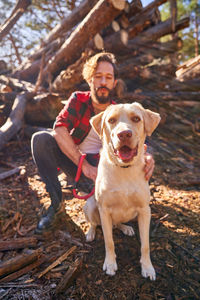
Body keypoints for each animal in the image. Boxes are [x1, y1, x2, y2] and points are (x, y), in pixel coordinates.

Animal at [83, 102, 161, 278]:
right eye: (111, 120)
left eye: (136, 118)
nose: (124, 134)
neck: (124, 168)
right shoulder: (104, 210)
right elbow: (109, 242)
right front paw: (110, 264)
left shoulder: (145, 210)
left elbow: (145, 244)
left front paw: (147, 267)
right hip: (90, 205)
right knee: (94, 223)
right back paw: (91, 233)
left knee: (117, 223)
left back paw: (125, 228)